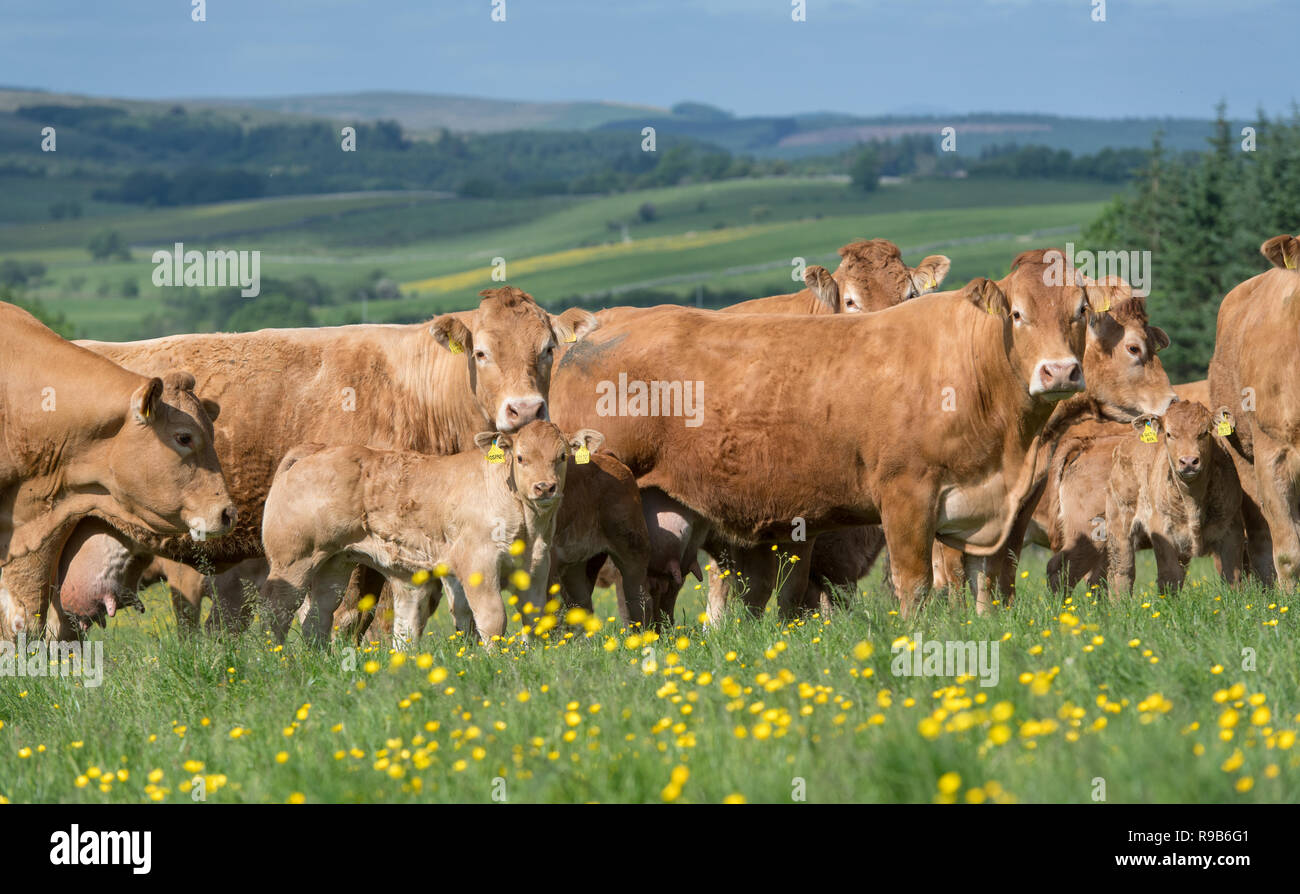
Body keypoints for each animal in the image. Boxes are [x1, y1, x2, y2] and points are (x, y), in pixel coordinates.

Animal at [261, 422, 584, 647]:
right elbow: (492, 619)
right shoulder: (477, 563)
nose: (545, 487)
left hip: (335, 564)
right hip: (292, 561)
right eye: (520, 457)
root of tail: (315, 450)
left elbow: (535, 617)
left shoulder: (536, 566)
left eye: (562, 456)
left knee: (318, 616)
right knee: (276, 612)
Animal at [550, 251, 1104, 619]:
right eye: (1017, 313)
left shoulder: (997, 508)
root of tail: (593, 330)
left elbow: (990, 585)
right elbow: (914, 584)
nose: (1059, 372)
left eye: (1081, 310)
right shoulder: (906, 495)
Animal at [1105, 402, 1244, 595]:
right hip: (1119, 525)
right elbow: (1169, 577)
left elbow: (1233, 577)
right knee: (1122, 573)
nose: (1189, 461)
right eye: (1169, 434)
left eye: (1204, 432)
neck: (1193, 501)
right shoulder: (1163, 533)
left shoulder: (1232, 529)